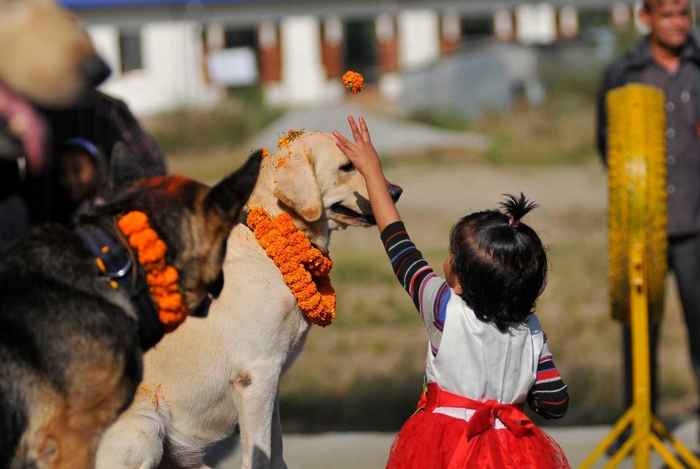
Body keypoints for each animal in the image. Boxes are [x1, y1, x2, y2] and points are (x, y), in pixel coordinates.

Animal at [99, 131, 404, 468]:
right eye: (347, 166)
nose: (395, 191)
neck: (265, 248)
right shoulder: (257, 376)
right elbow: (259, 454)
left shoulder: (273, 379)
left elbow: (277, 451)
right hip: (145, 429)